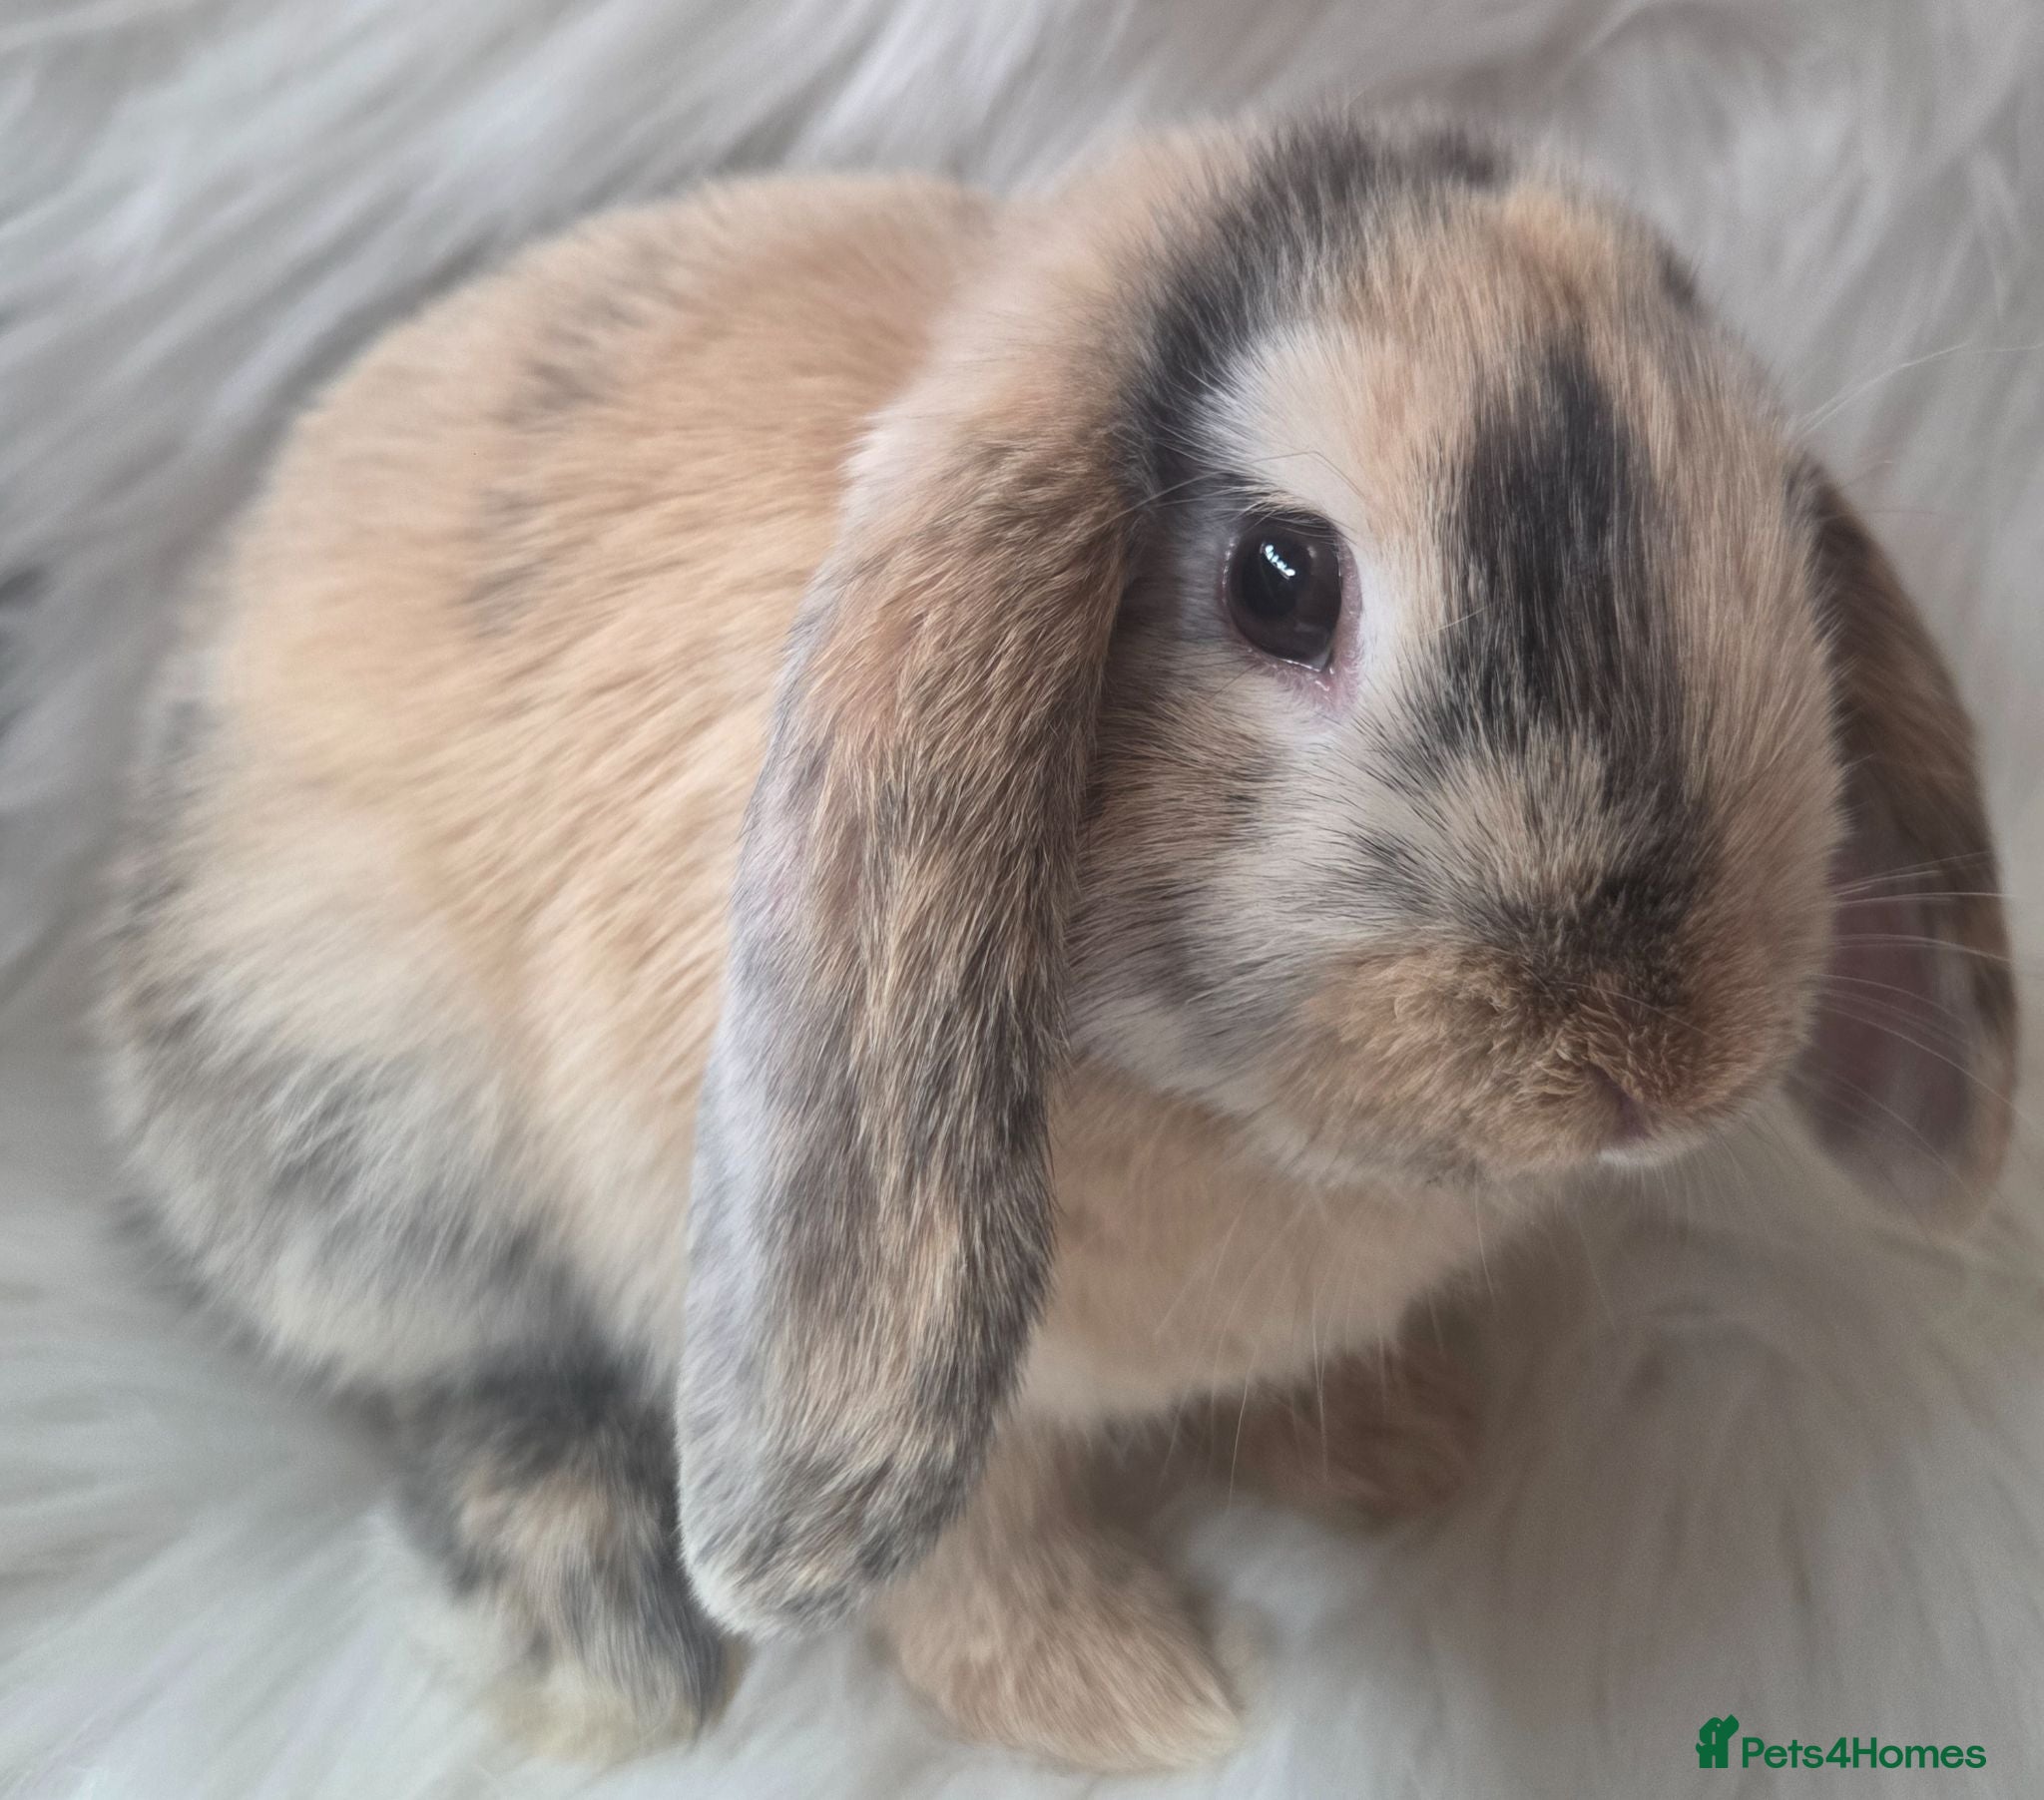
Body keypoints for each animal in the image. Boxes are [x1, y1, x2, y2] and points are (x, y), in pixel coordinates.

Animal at [98, 111, 2016, 1772]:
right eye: (1281, 578)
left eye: (1768, 529)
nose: (1658, 1064)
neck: (1228, 1116)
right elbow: (970, 1558)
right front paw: (1137, 1700)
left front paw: (1399, 1447)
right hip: (363, 1144)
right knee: (447, 1370)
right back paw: (602, 1626)